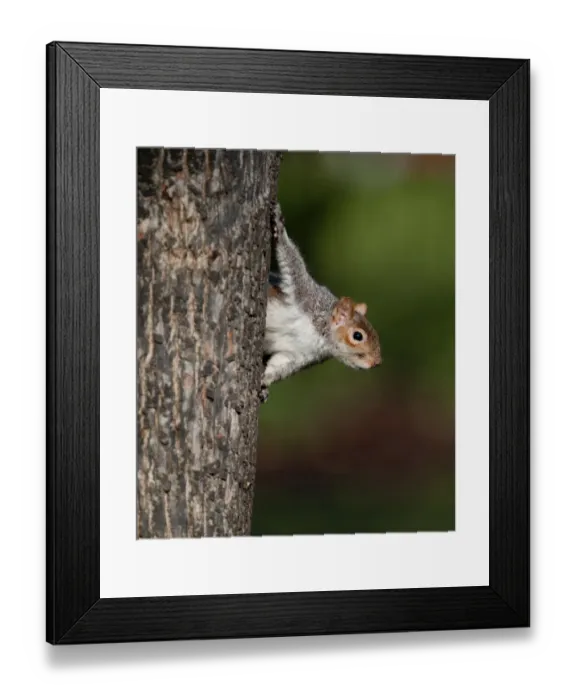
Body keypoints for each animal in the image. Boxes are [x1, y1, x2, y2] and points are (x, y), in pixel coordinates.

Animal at [259, 203, 382, 403]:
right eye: (358, 336)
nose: (376, 362)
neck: (321, 337)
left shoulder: (297, 355)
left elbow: (279, 366)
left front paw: (264, 382)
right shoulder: (306, 296)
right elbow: (293, 264)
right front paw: (279, 225)